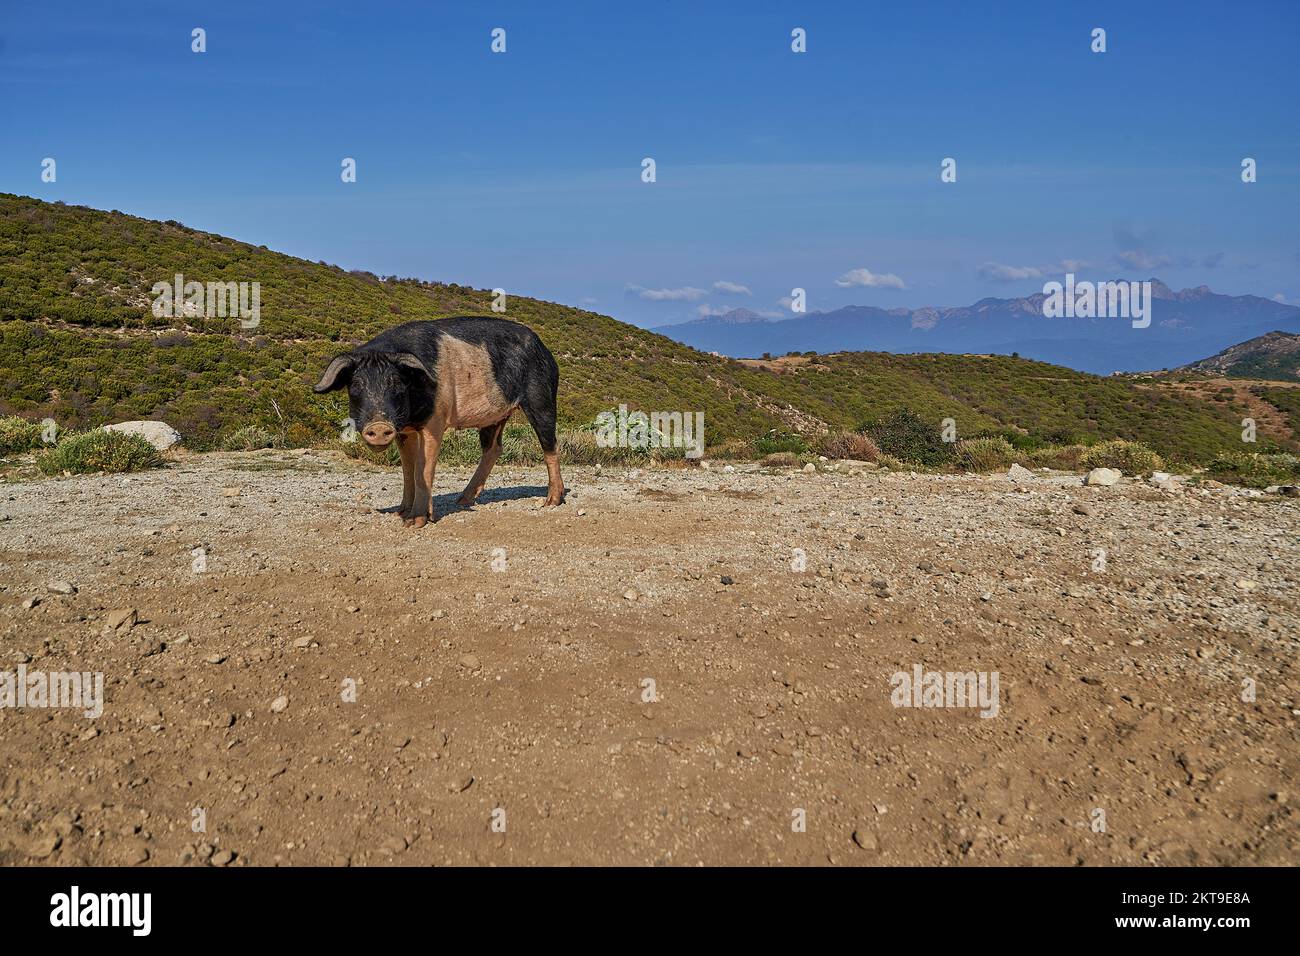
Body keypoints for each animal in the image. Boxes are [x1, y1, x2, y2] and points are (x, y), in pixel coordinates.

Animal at [313, 317, 564, 528]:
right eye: (356, 385)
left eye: (397, 384)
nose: (379, 426)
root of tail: (545, 350)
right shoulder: (404, 430)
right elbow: (408, 469)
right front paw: (400, 513)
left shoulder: (435, 420)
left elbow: (422, 470)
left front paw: (414, 522)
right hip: (495, 416)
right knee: (493, 448)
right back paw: (463, 500)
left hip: (541, 396)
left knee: (550, 443)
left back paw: (551, 501)